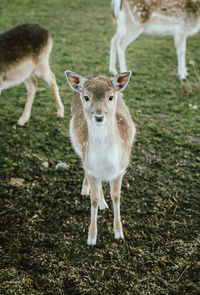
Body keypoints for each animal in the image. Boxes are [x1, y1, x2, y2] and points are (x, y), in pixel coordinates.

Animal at [65, 70, 136, 246]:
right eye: (86, 97)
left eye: (110, 97)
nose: (98, 116)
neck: (107, 161)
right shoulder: (91, 170)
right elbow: (94, 199)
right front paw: (91, 239)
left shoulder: (120, 170)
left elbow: (116, 196)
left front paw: (119, 233)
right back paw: (86, 190)